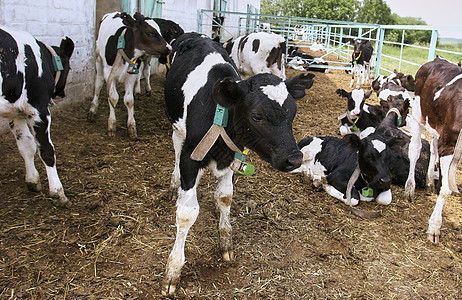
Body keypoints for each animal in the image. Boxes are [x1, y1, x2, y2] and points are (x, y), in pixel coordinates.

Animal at [0, 25, 74, 206]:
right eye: (69, 67)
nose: (62, 93)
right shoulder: (39, 108)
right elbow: (46, 149)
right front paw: (57, 192)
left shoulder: (15, 113)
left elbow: (26, 145)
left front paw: (32, 180)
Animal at [161, 32, 316, 296]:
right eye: (257, 116)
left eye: (292, 113)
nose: (294, 158)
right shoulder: (190, 159)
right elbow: (186, 213)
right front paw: (173, 269)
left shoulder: (232, 157)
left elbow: (224, 197)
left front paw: (225, 241)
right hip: (176, 127)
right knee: (176, 146)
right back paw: (174, 183)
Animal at [404, 56, 462, 244]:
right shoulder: (449, 143)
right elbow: (445, 191)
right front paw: (434, 227)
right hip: (418, 114)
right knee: (415, 150)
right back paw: (410, 189)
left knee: (434, 149)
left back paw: (430, 181)